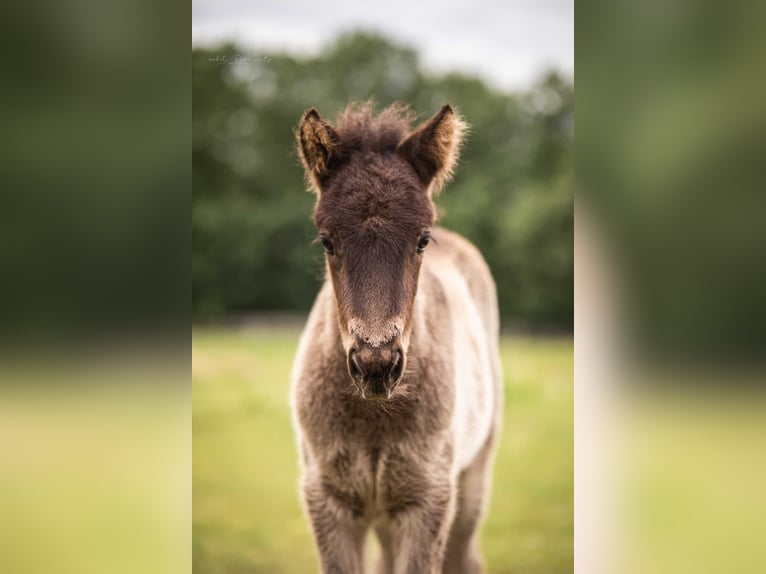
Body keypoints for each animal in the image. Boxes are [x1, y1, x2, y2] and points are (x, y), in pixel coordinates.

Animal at [290, 102, 502, 574]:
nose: (376, 365)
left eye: (422, 240)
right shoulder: (328, 501)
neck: (373, 418)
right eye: (327, 241)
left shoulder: (428, 501)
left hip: (472, 479)